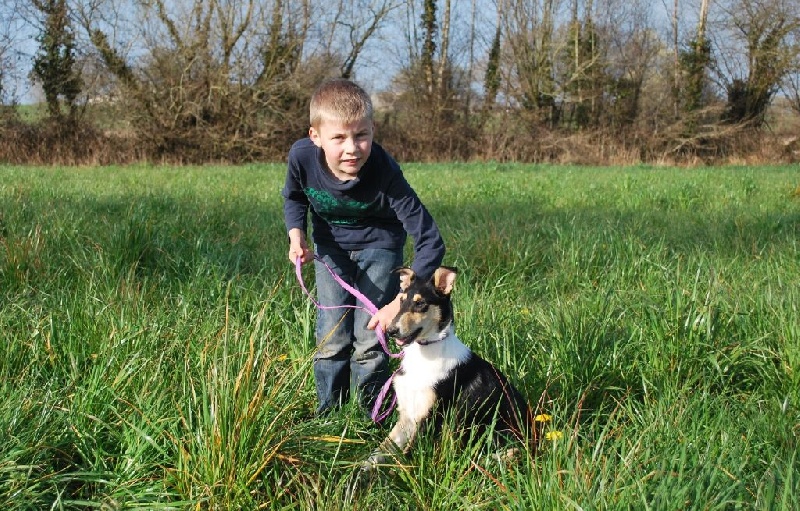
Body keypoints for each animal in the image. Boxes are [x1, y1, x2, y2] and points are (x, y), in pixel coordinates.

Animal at [363, 266, 537, 470]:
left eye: (421, 303)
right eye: (401, 300)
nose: (391, 331)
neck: (424, 353)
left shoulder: (430, 419)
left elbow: (404, 459)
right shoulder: (407, 416)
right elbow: (380, 451)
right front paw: (359, 470)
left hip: (495, 434)